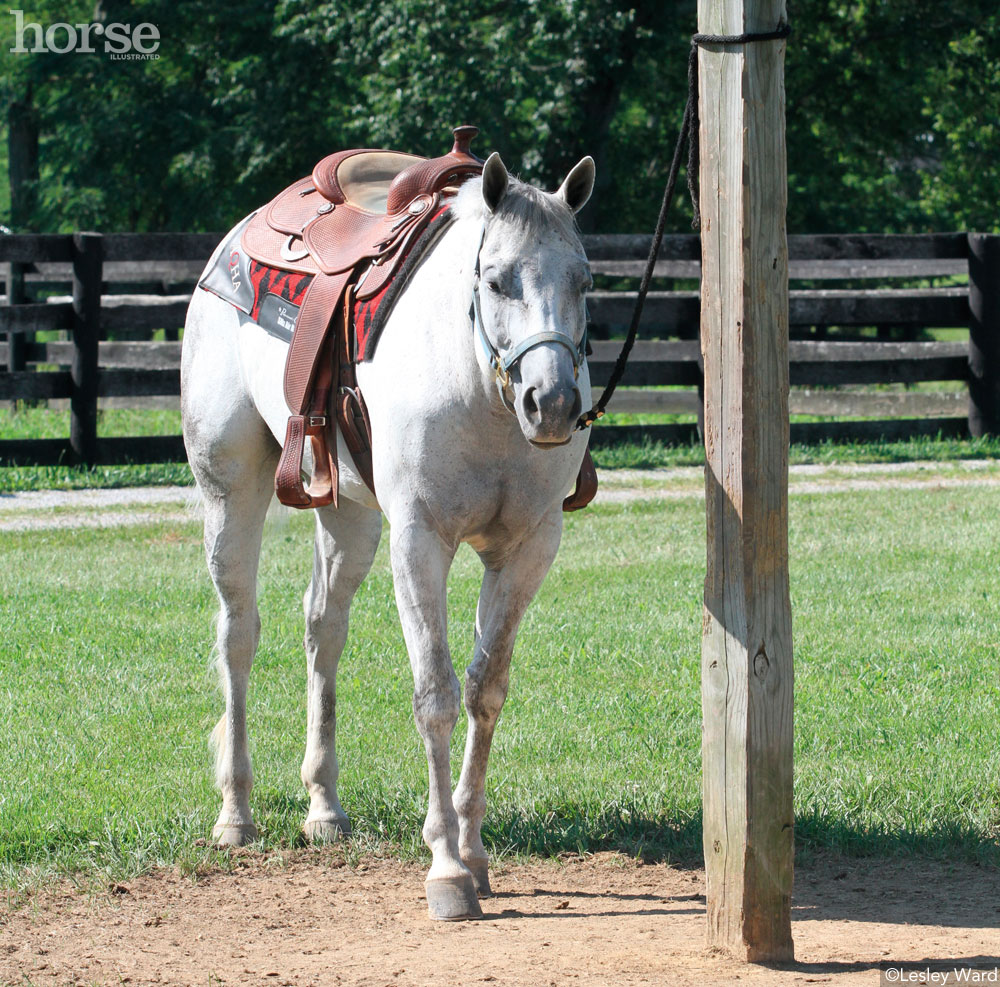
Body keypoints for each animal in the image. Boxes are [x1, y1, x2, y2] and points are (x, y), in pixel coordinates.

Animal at [182, 152, 592, 920]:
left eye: (584, 279)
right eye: (497, 279)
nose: (551, 403)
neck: (476, 385)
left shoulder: (528, 548)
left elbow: (485, 689)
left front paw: (474, 849)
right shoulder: (418, 540)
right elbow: (434, 692)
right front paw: (446, 867)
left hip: (350, 516)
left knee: (323, 628)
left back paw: (323, 805)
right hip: (230, 489)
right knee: (237, 635)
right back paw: (236, 814)